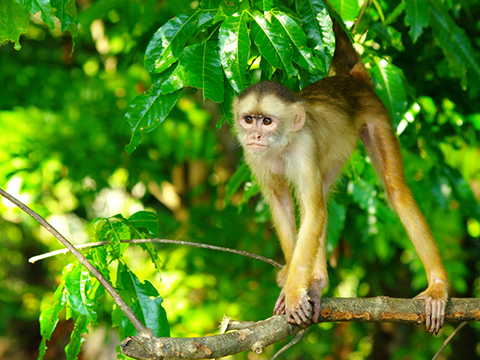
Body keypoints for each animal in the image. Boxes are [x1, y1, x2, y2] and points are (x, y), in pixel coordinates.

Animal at [233, 19, 450, 334]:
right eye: (249, 119)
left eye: (267, 121)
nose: (255, 135)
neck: (281, 145)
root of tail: (352, 81)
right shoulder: (252, 156)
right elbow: (283, 205)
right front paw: (293, 285)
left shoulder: (303, 147)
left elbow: (312, 213)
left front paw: (295, 293)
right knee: (323, 196)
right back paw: (317, 282)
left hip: (376, 116)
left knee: (395, 191)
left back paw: (437, 287)